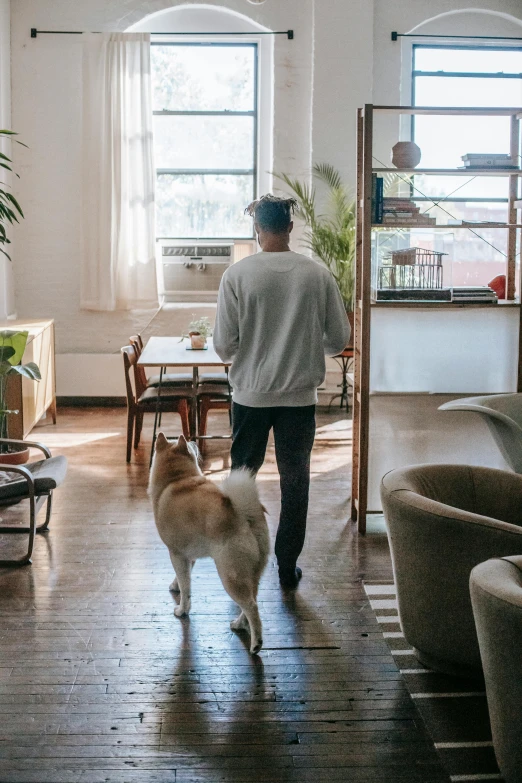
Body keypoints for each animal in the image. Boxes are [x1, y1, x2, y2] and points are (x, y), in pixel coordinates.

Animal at [147, 434, 266, 656]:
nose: (193, 441)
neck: (176, 479)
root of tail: (245, 515)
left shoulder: (176, 553)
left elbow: (186, 587)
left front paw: (182, 610)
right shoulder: (189, 555)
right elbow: (183, 577)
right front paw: (175, 586)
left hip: (230, 575)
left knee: (252, 606)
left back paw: (256, 643)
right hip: (252, 573)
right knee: (251, 601)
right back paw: (239, 624)